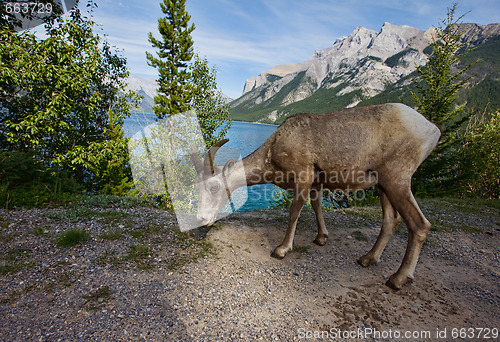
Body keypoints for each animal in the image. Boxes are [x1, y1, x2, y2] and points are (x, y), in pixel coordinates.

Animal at [193, 102, 440, 288]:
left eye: (214, 187)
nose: (201, 219)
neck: (272, 153)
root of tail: (432, 130)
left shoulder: (303, 174)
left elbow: (294, 212)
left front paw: (282, 249)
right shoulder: (317, 183)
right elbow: (317, 207)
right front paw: (321, 238)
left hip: (397, 179)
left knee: (420, 224)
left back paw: (397, 279)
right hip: (384, 185)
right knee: (391, 220)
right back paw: (367, 259)